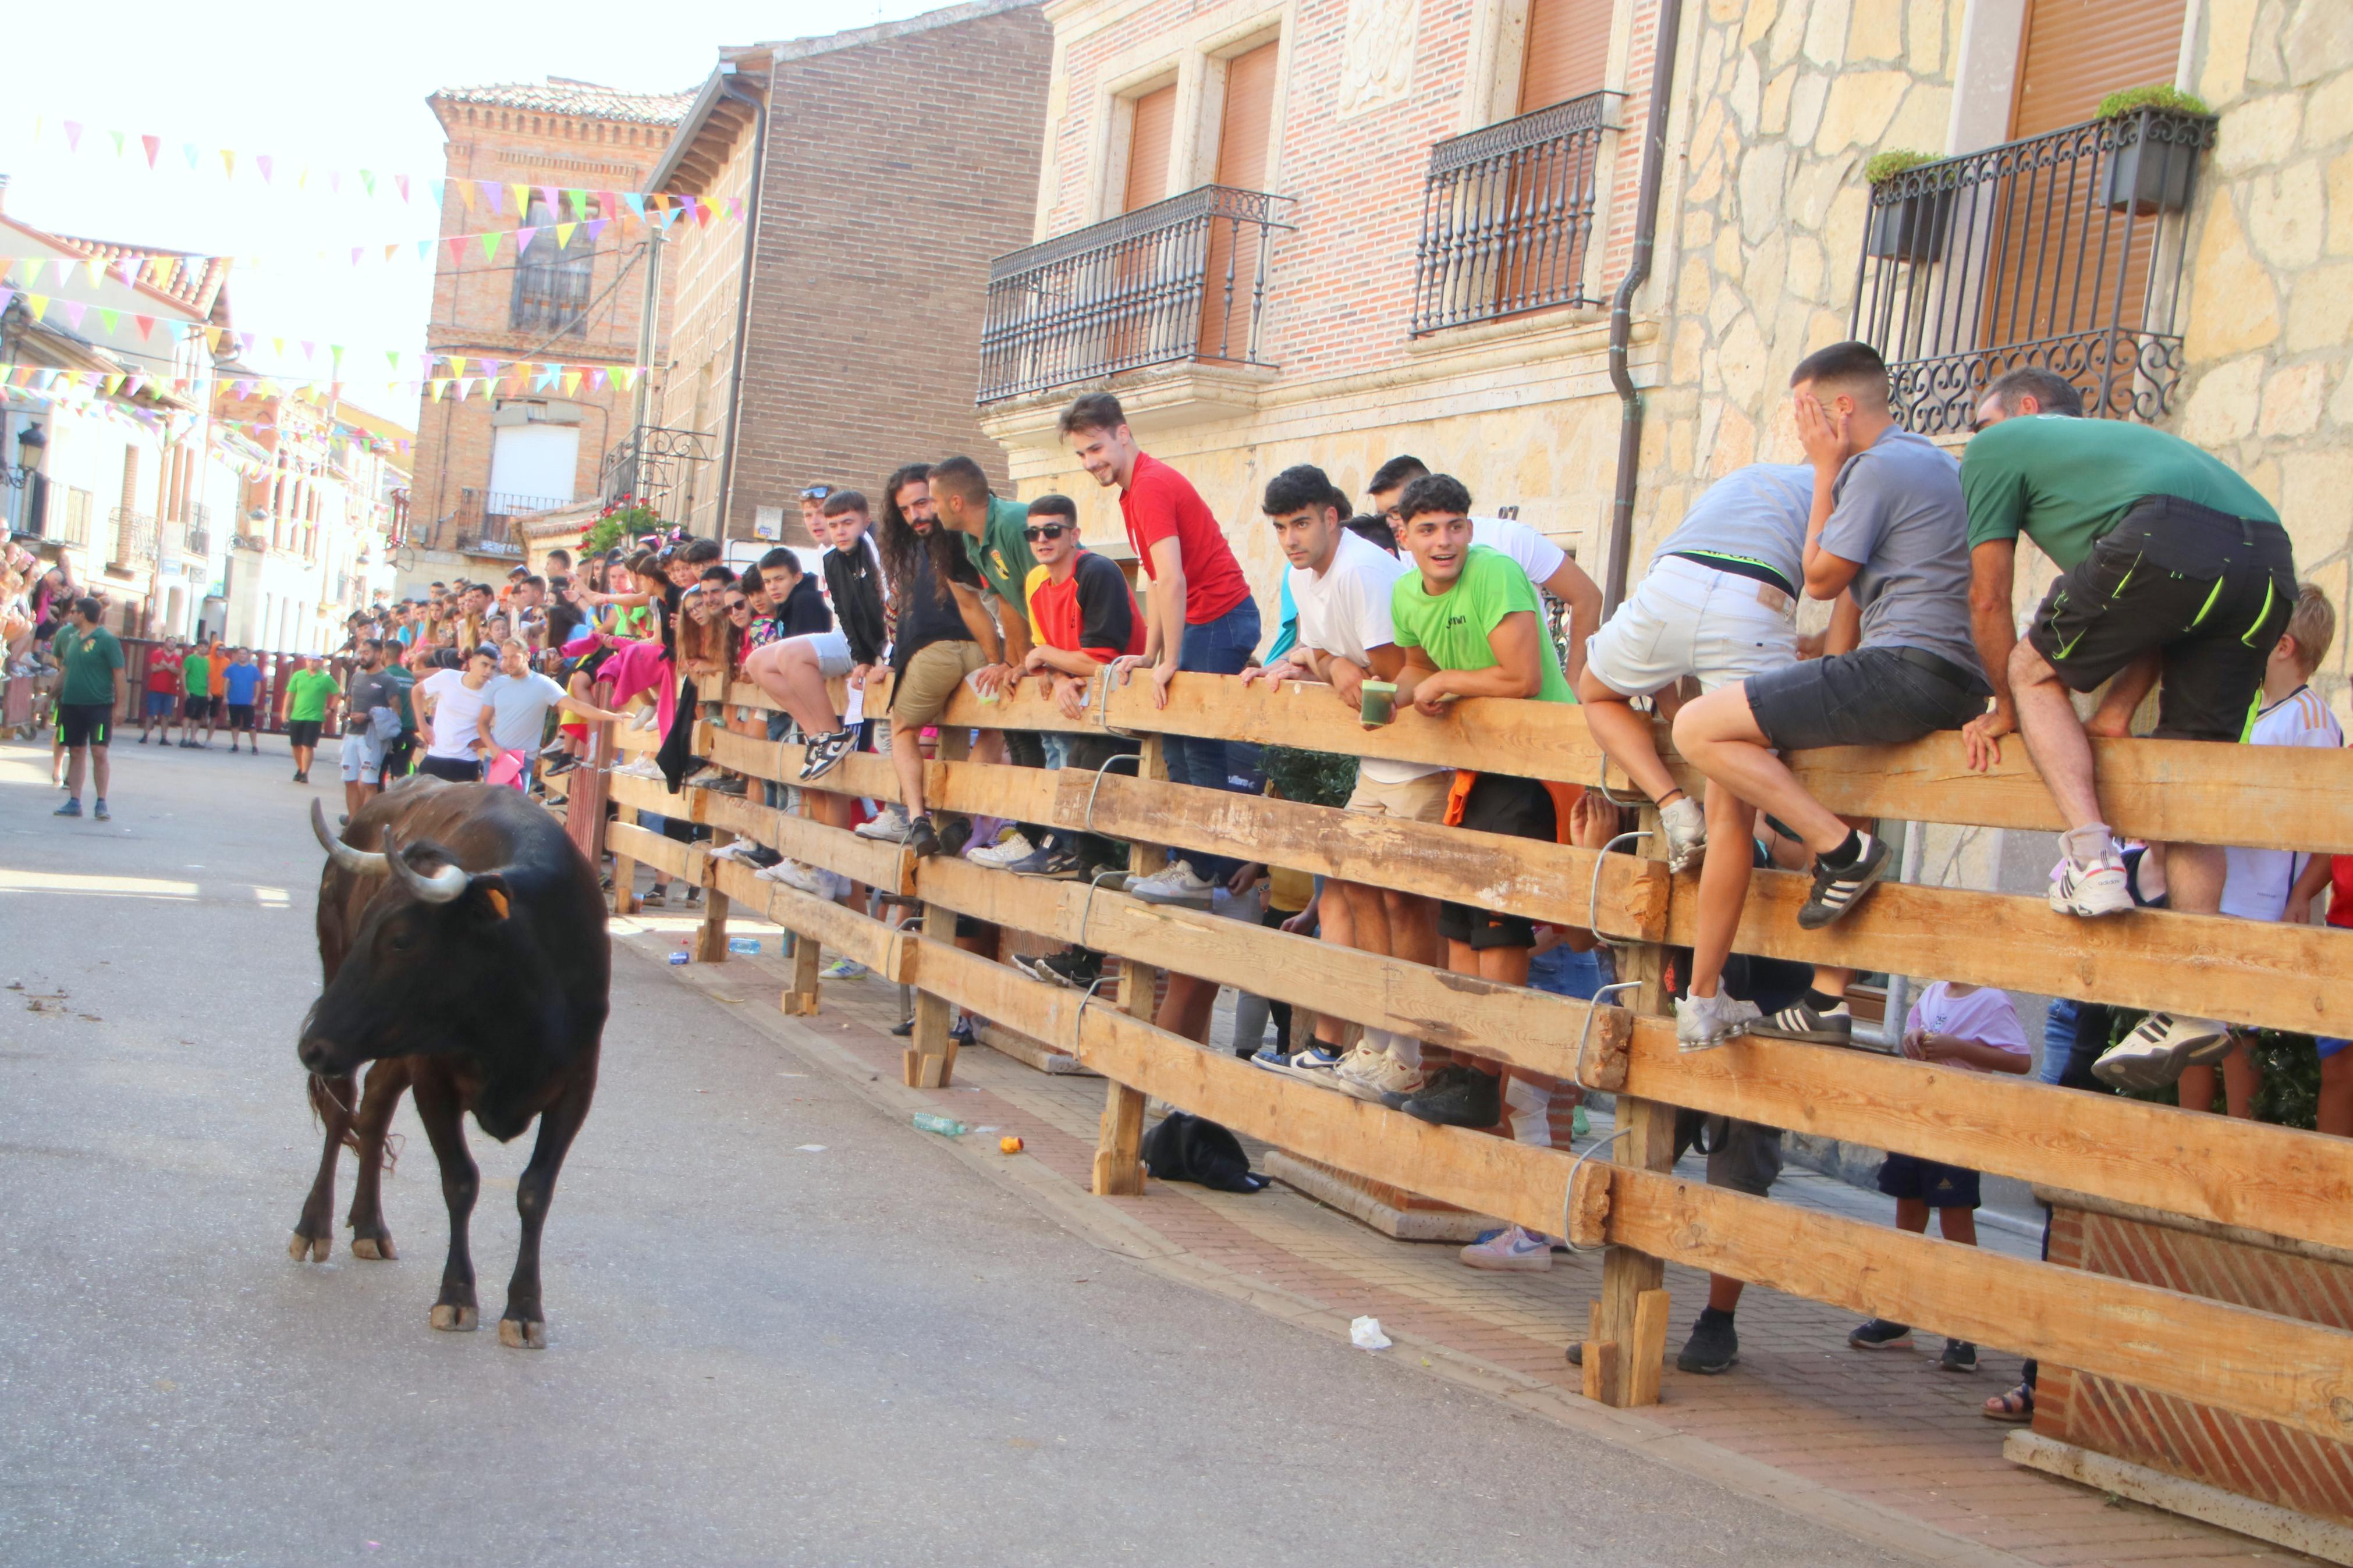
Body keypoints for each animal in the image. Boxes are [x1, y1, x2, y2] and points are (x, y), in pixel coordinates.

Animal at [294, 785, 612, 1354]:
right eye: (366, 921)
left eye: (402, 938)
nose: (310, 1044)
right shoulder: (434, 1079)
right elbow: (460, 1181)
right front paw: (457, 1296)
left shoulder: (577, 1085)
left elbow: (535, 1191)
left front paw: (524, 1309)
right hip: (350, 1016)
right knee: (340, 1109)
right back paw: (314, 1226)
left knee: (374, 1105)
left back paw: (370, 1226)